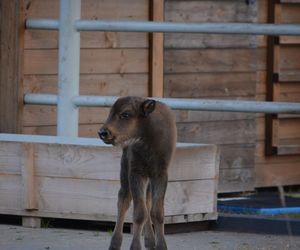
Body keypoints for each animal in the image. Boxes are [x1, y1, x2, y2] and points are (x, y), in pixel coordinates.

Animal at [98, 96, 177, 250]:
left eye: (126, 114)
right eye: (110, 112)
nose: (103, 133)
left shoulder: (160, 174)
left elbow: (157, 212)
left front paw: (161, 246)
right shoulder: (135, 173)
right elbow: (139, 213)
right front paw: (135, 247)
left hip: (147, 179)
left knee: (147, 201)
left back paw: (150, 241)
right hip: (125, 173)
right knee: (123, 201)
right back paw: (115, 243)